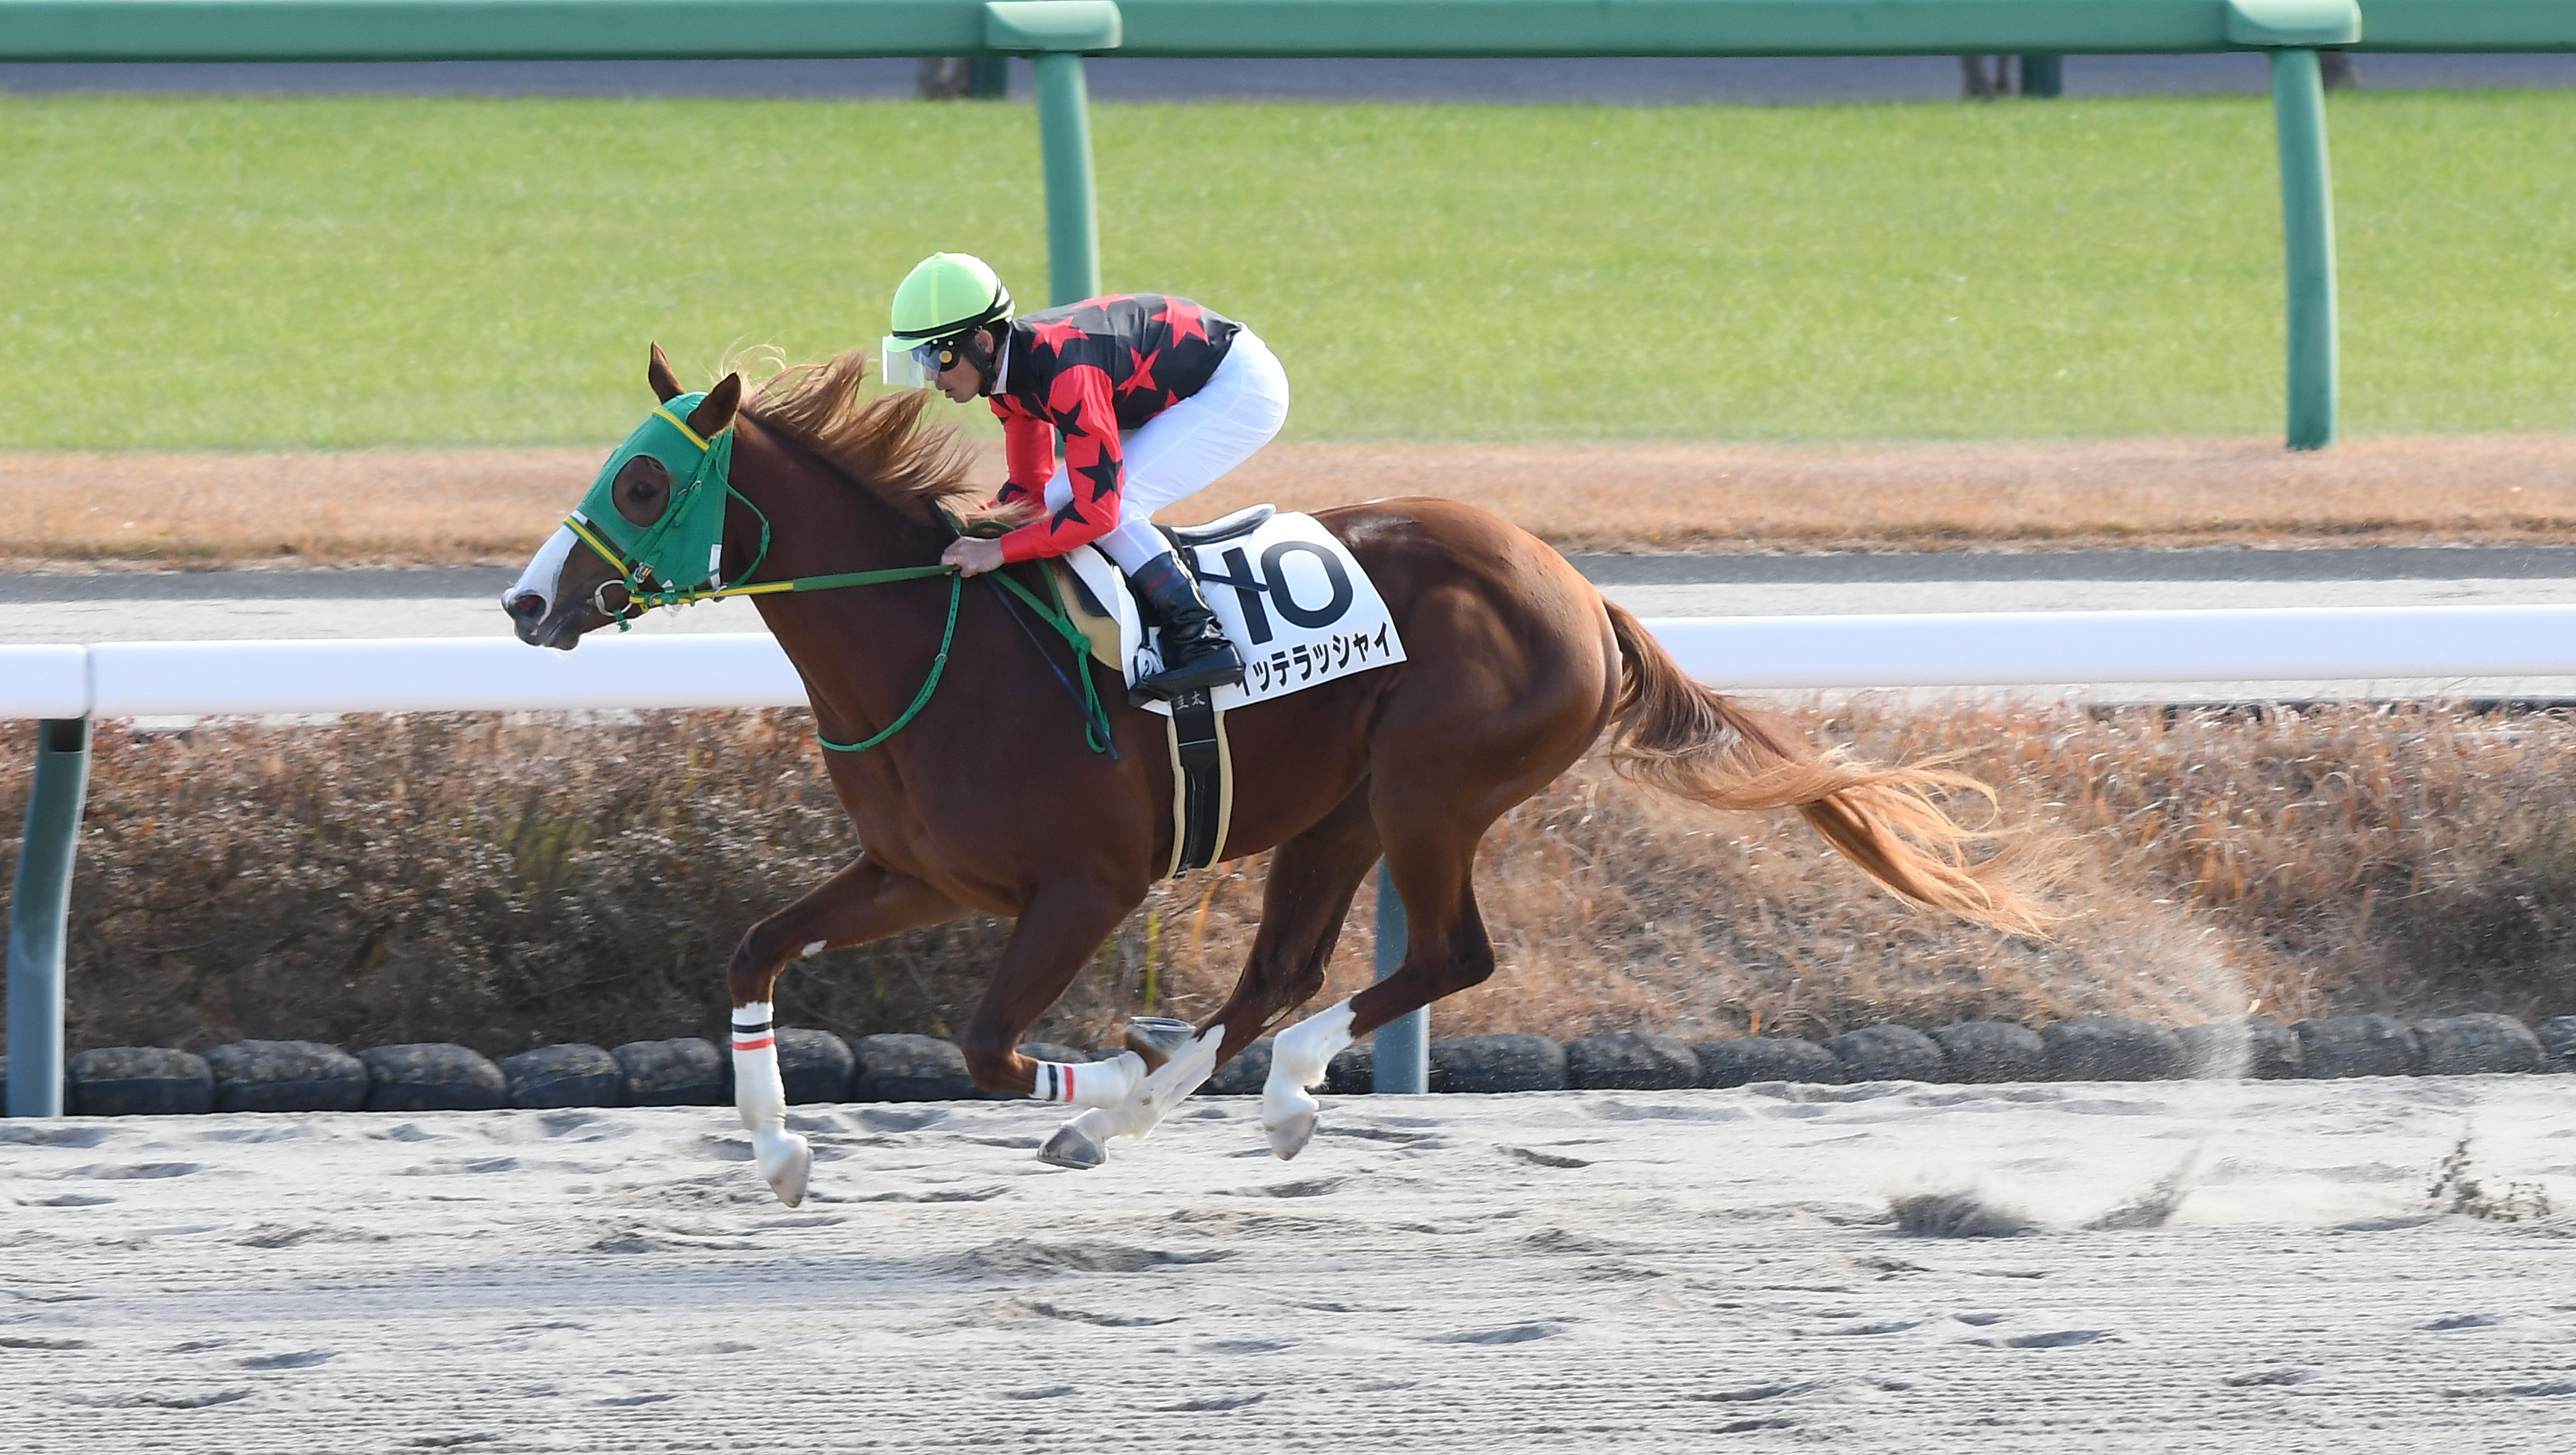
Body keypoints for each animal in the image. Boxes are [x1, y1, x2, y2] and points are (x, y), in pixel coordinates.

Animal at [505, 344, 2045, 1205]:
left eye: (644, 483)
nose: (526, 605)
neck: (932, 644)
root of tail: (1576, 587)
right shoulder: (916, 874)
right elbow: (756, 949)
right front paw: (776, 1154)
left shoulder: (1085, 887)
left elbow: (995, 1046)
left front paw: (1103, 1085)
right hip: (1342, 811)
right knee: (1284, 972)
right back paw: (1199, 1094)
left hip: (1432, 790)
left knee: (1443, 957)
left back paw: (1237, 1089)